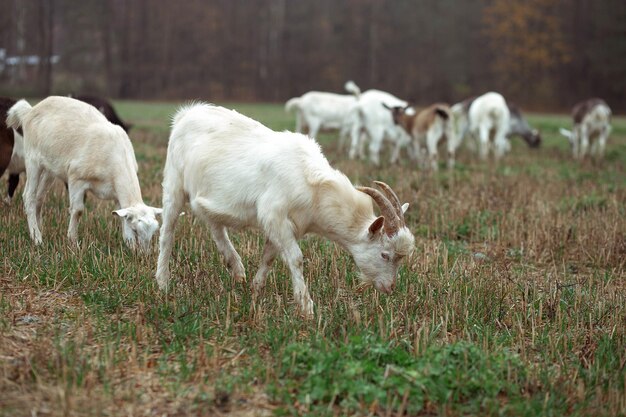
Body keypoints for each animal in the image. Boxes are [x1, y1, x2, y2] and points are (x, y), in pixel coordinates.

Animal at [5, 96, 161, 249]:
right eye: (135, 230)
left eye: (153, 234)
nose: (142, 254)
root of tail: (29, 111)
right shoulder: (76, 179)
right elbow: (78, 210)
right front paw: (73, 241)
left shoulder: (117, 193)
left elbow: (120, 216)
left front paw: (127, 243)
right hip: (33, 160)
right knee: (29, 196)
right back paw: (37, 238)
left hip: (50, 168)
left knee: (39, 198)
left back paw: (39, 230)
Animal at [155, 103, 414, 316]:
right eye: (384, 254)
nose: (389, 287)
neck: (312, 186)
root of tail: (185, 115)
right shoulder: (275, 216)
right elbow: (296, 258)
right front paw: (307, 307)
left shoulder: (285, 225)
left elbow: (269, 256)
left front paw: (256, 289)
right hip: (174, 185)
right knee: (168, 232)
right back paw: (163, 282)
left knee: (214, 225)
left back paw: (237, 269)